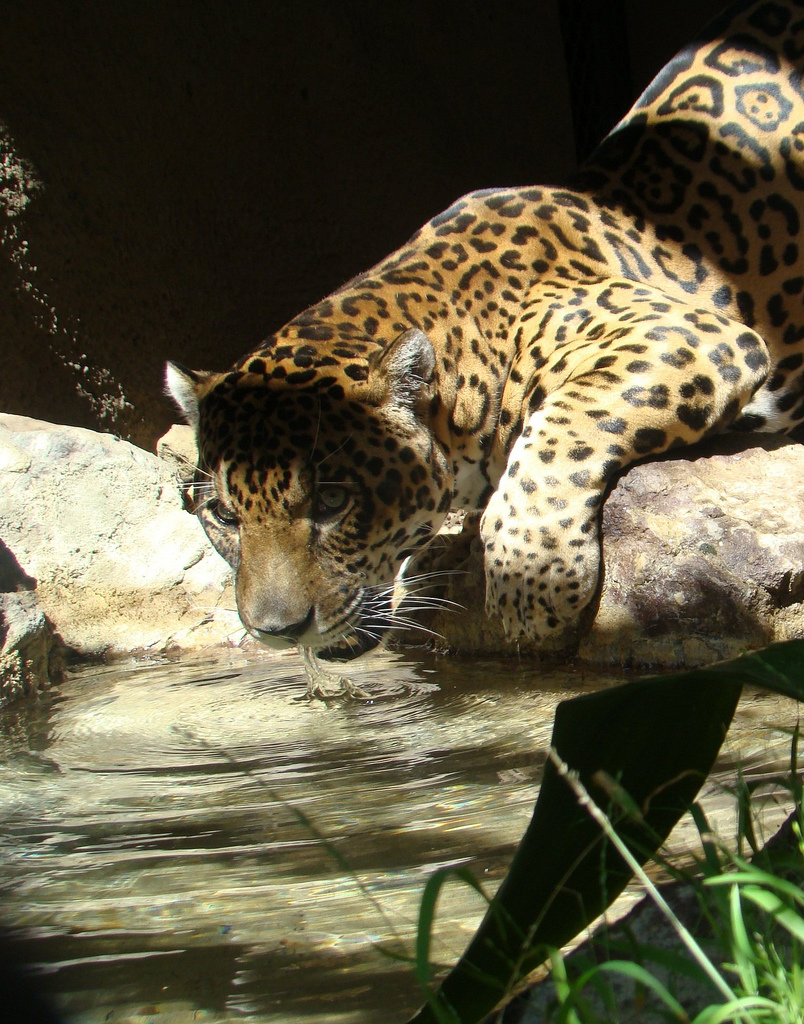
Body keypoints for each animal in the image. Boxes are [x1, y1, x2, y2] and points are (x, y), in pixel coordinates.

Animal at [167, 0, 804, 664]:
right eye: (222, 516)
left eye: (331, 501)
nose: (277, 631)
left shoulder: (693, 333)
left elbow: (561, 428)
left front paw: (532, 585)